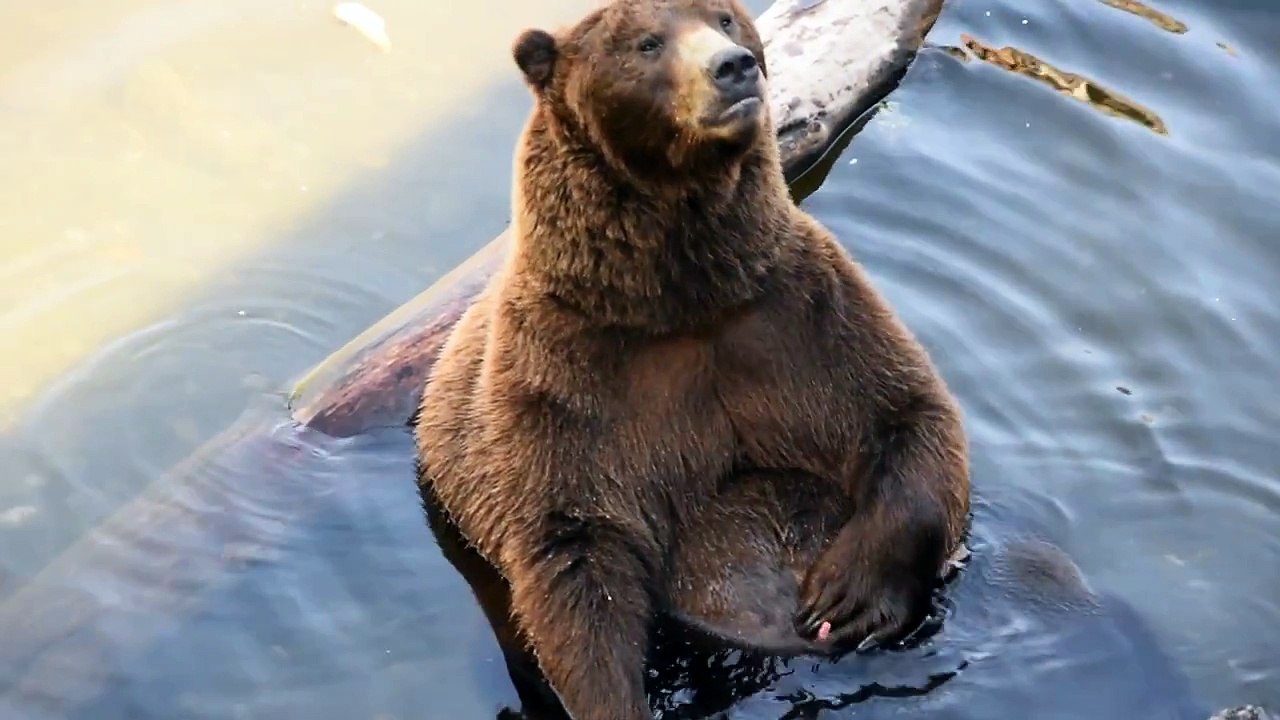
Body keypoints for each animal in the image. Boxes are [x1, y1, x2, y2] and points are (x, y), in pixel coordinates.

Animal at [412, 0, 970, 718]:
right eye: (647, 43)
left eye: (726, 19)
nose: (733, 67)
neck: (680, 299)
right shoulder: (559, 385)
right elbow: (574, 554)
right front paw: (616, 698)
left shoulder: (798, 313)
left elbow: (907, 414)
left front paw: (848, 595)